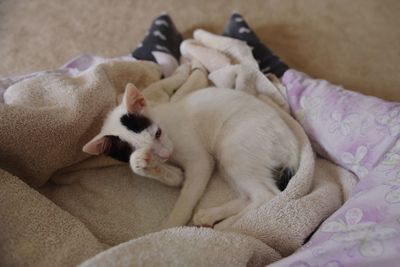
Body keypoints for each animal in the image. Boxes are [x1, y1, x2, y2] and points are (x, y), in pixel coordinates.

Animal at [83, 83, 298, 230]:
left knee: (266, 194)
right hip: (230, 160)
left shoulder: (200, 161)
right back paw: (210, 215)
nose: (165, 153)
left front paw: (168, 228)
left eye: (158, 133)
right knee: (250, 195)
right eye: (149, 150)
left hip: (234, 148)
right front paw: (141, 163)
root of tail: (292, 142)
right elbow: (176, 177)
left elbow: (186, 199)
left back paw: (227, 225)